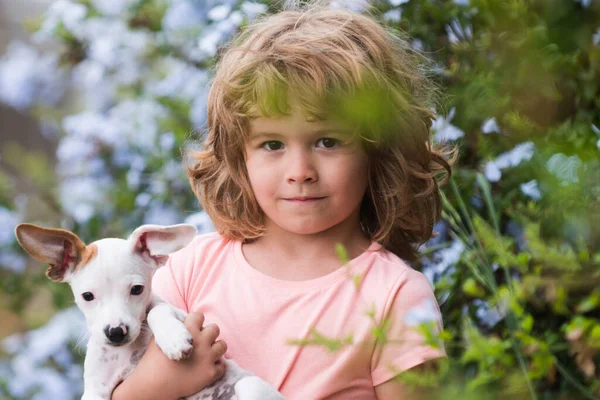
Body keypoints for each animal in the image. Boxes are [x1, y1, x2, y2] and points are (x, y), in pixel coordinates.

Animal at [15, 223, 284, 400]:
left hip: (251, 387)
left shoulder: (189, 319)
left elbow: (157, 310)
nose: (116, 332)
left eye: (136, 289)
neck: (128, 353)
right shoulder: (96, 391)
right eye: (87, 296)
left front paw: (173, 339)